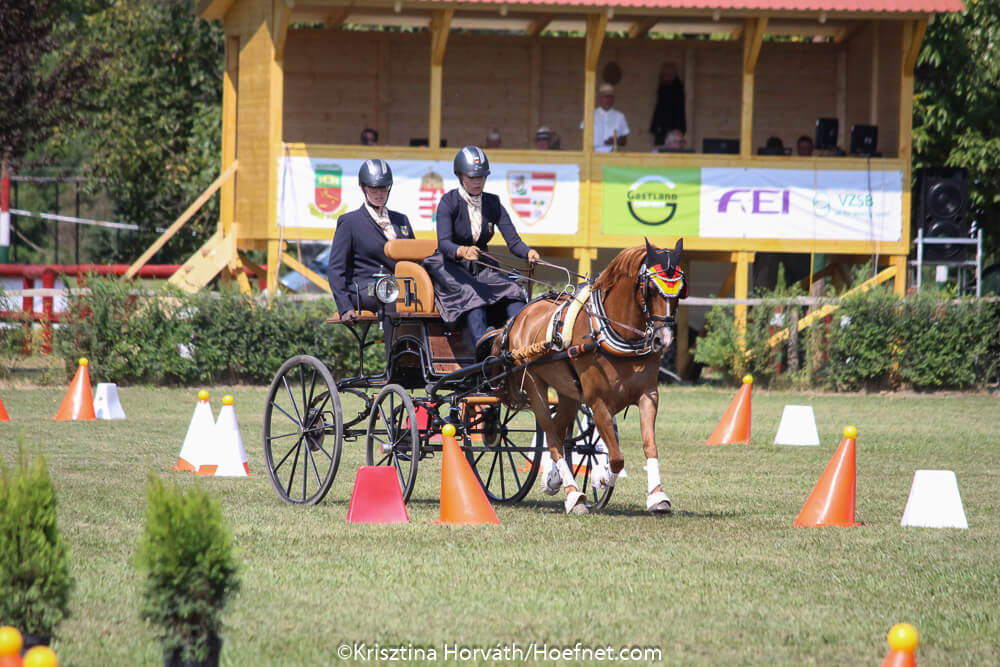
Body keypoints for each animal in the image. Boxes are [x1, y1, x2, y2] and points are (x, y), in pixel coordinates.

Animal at [491, 238, 687, 514]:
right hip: (534, 385)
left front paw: (658, 496)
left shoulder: (649, 395)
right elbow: (616, 457)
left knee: (558, 431)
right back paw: (574, 495)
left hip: (568, 393)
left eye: (680, 291)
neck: (615, 335)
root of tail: (518, 318)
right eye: (649, 289)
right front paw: (600, 478)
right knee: (552, 436)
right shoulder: (597, 401)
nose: (663, 339)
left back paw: (554, 480)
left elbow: (650, 445)